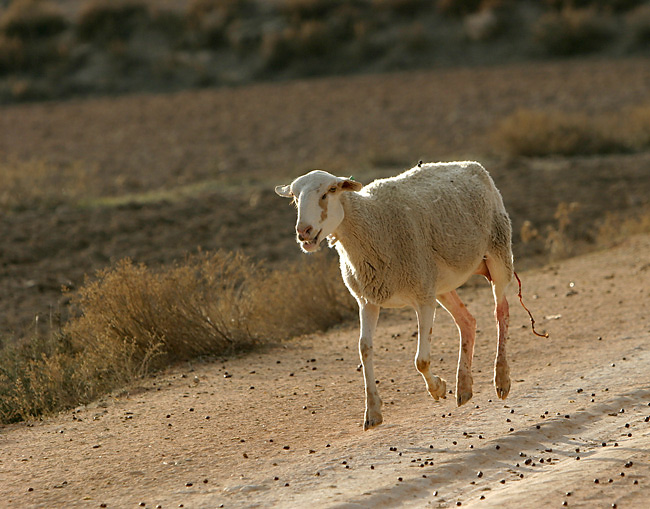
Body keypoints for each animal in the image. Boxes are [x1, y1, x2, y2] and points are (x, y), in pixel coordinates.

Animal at [276, 162, 512, 428]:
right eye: (295, 198)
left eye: (331, 190)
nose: (304, 232)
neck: (373, 222)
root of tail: (470, 165)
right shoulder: (367, 300)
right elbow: (364, 349)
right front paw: (373, 412)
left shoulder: (423, 297)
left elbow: (421, 360)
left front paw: (437, 389)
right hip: (440, 285)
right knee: (467, 321)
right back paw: (464, 387)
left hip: (498, 252)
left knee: (501, 311)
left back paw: (501, 380)